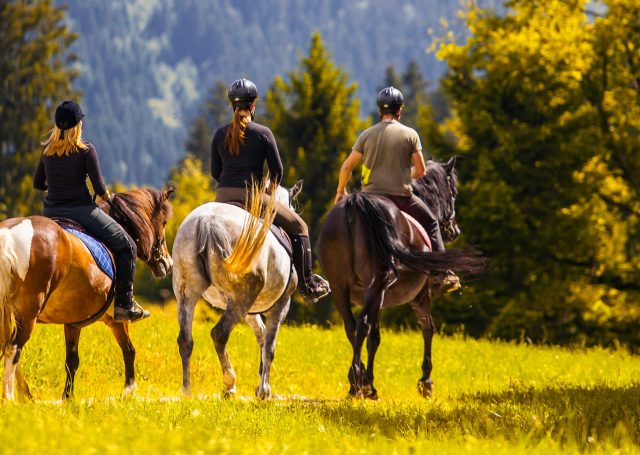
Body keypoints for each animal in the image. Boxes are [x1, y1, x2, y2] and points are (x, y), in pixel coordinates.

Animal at [0, 189, 174, 402]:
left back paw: (25, 395)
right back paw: (10, 398)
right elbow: (129, 349)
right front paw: (129, 390)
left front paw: (68, 397)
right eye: (164, 222)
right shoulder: (116, 318)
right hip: (28, 314)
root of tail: (9, 236)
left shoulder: (73, 323)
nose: (167, 264)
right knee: (13, 349)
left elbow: (72, 361)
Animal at [318, 157, 482, 400]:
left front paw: (365, 380)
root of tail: (355, 206)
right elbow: (428, 328)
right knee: (363, 326)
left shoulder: (375, 297)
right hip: (378, 284)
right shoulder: (420, 295)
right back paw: (360, 383)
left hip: (341, 288)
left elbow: (374, 336)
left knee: (353, 327)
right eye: (453, 192)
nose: (455, 231)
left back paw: (355, 382)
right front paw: (426, 382)